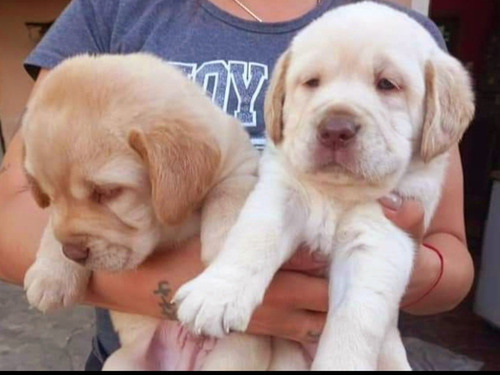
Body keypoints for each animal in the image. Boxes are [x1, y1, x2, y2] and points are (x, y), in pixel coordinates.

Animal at [22, 53, 268, 374]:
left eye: (106, 192)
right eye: (49, 197)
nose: (73, 253)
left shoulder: (240, 164)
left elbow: (231, 192)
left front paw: (223, 259)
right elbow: (54, 229)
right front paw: (51, 275)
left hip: (233, 357)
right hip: (120, 362)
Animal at [174, 2, 474, 374]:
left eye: (387, 84)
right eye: (312, 82)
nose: (335, 129)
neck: (337, 193)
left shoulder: (379, 238)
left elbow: (355, 317)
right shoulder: (280, 194)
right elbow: (253, 239)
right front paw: (216, 294)